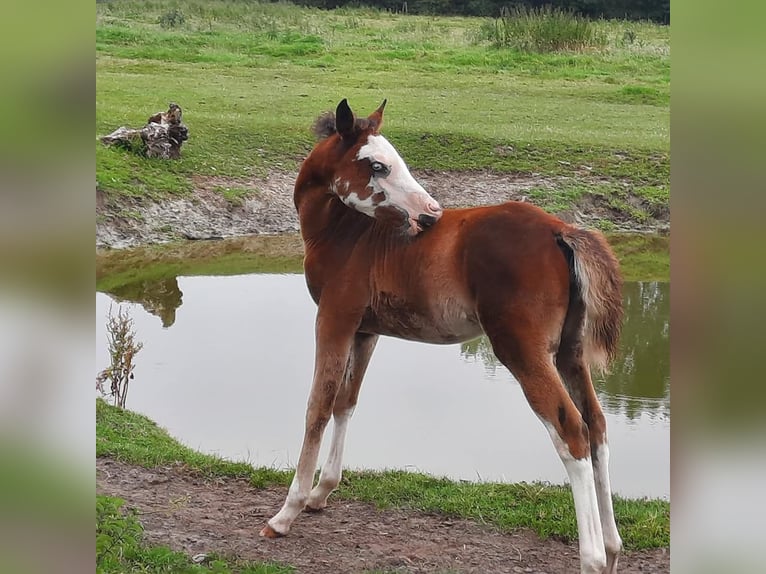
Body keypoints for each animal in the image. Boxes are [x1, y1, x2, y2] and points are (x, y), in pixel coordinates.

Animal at [260, 100, 628, 574]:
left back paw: (593, 558)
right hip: (570, 352)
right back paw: (614, 549)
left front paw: (287, 512)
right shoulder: (365, 331)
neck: (348, 233)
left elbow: (318, 407)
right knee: (597, 426)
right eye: (377, 165)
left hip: (523, 351)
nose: (430, 214)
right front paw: (323, 493)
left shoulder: (333, 319)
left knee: (572, 430)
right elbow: (346, 402)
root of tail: (559, 230)